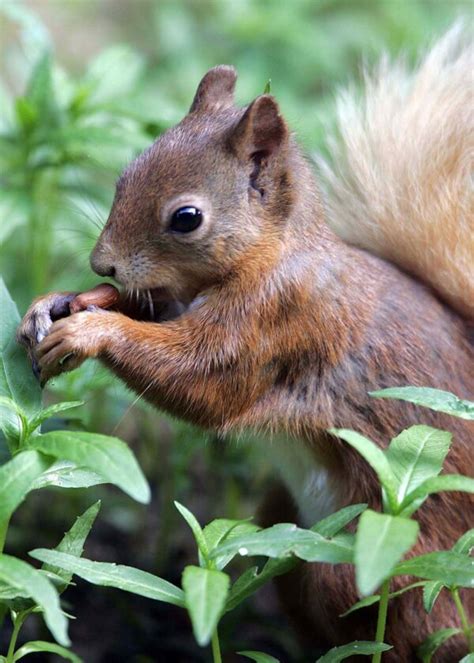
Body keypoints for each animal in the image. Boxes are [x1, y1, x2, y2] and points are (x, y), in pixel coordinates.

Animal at [18, 24, 474, 660]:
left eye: (187, 217)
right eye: (123, 177)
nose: (101, 265)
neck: (270, 255)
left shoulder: (278, 320)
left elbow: (203, 382)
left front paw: (92, 330)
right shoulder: (178, 299)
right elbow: (151, 309)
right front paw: (60, 302)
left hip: (381, 558)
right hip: (281, 521)